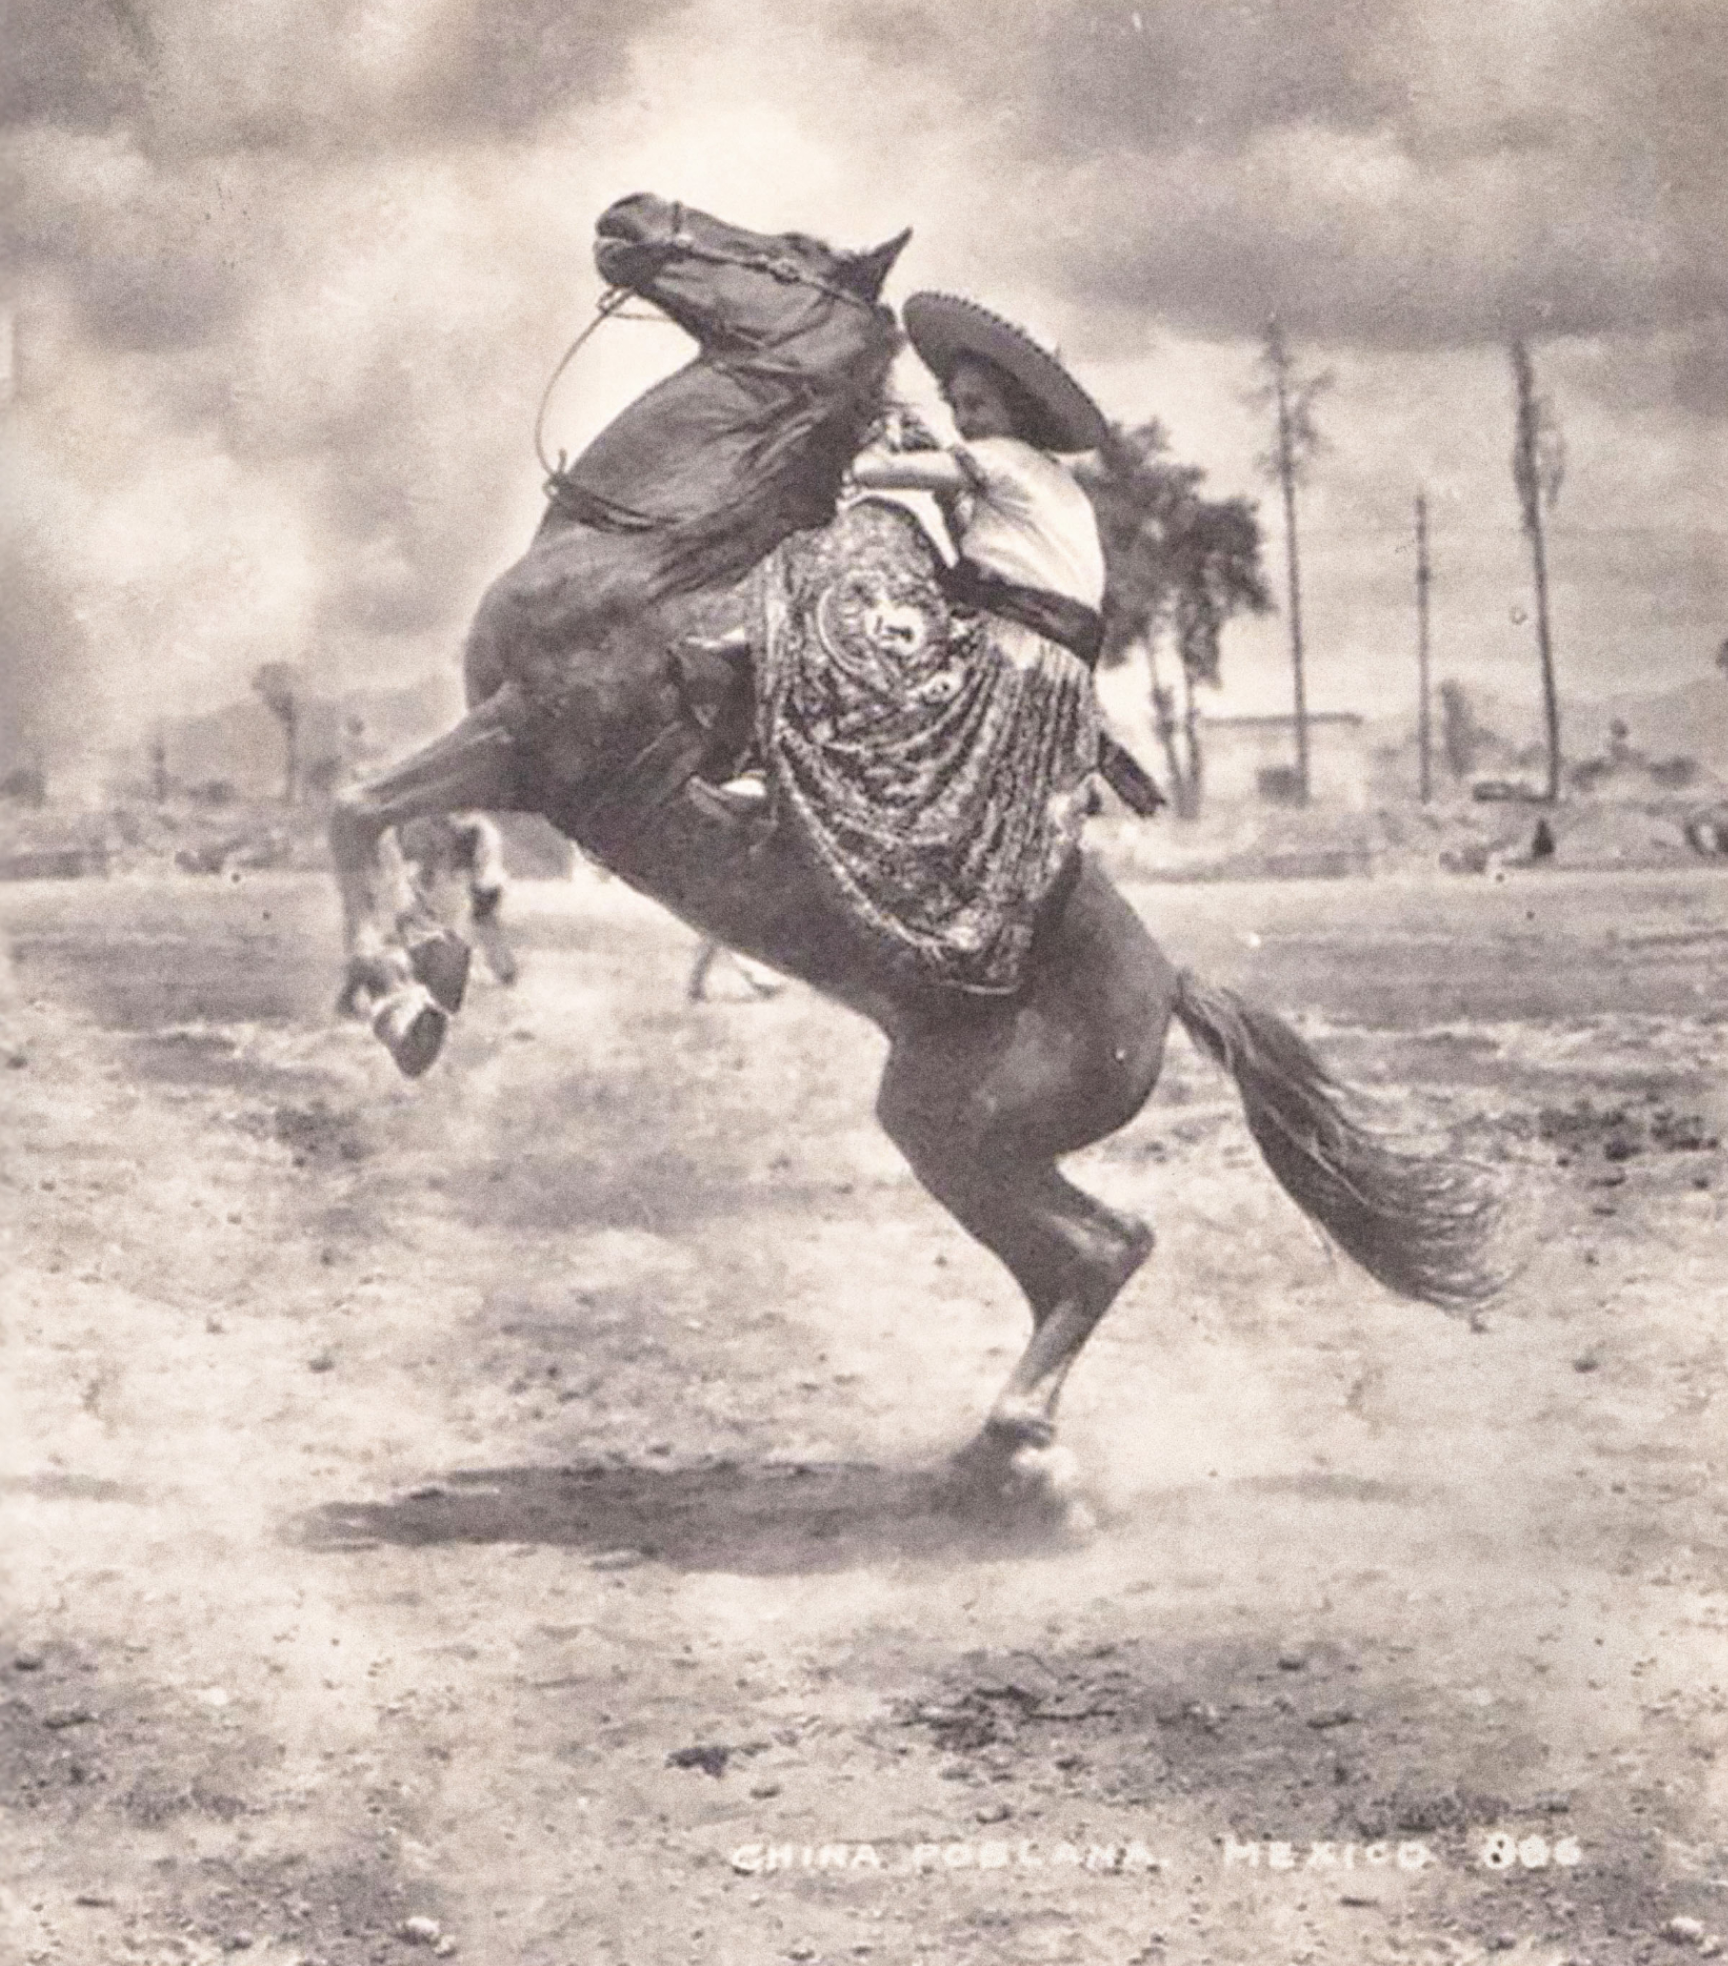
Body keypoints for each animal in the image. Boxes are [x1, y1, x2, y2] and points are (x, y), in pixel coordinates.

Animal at [330, 195, 1509, 1486]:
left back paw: (1013, 1442)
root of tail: (1170, 987)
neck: (644, 560)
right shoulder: (519, 759)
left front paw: (405, 993)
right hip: (948, 1135)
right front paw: (421, 975)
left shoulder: (529, 744)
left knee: (1102, 1247)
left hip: (970, 1140)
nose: (633, 214)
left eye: (789, 251)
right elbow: (376, 812)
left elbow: (355, 804)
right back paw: (1005, 1450)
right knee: (1092, 1249)